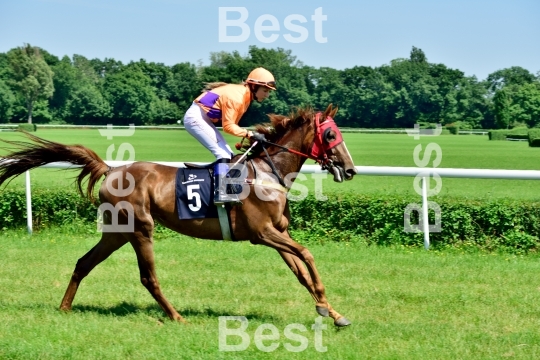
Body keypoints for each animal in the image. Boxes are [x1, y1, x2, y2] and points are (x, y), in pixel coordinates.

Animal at [0, 103, 358, 326]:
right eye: (330, 135)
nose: (350, 169)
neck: (268, 172)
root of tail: (112, 170)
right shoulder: (263, 234)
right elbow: (308, 255)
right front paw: (326, 305)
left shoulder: (277, 233)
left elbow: (300, 271)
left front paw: (332, 311)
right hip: (140, 229)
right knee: (148, 277)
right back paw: (176, 316)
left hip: (117, 232)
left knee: (84, 263)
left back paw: (64, 308)